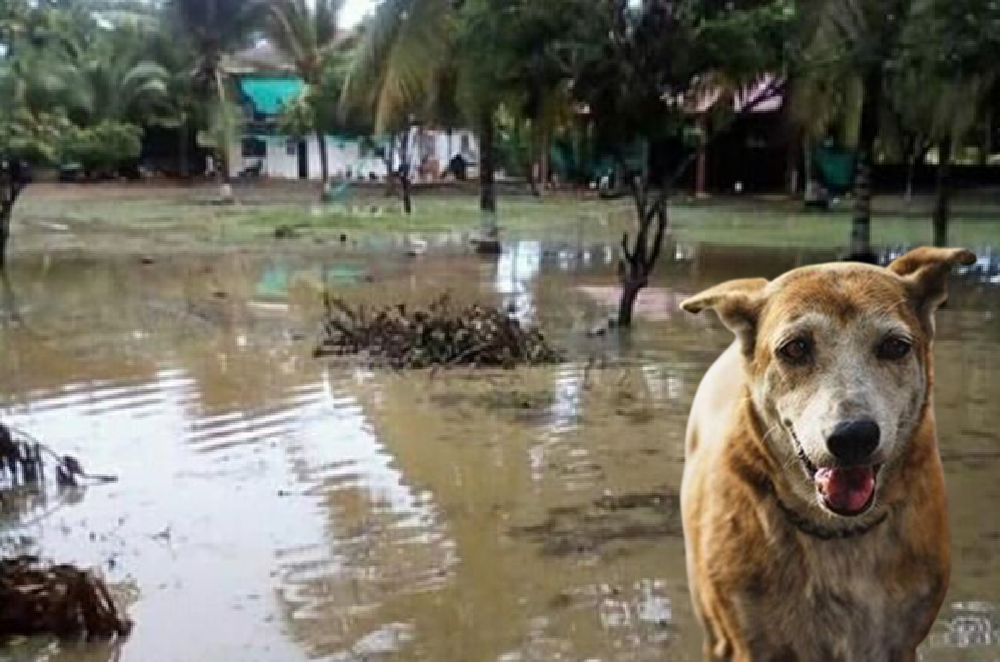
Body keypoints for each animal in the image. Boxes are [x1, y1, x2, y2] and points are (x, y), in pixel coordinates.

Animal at [680, 248, 976, 662]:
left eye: (895, 346)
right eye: (795, 348)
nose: (853, 436)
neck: (837, 531)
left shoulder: (901, 642)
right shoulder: (746, 643)